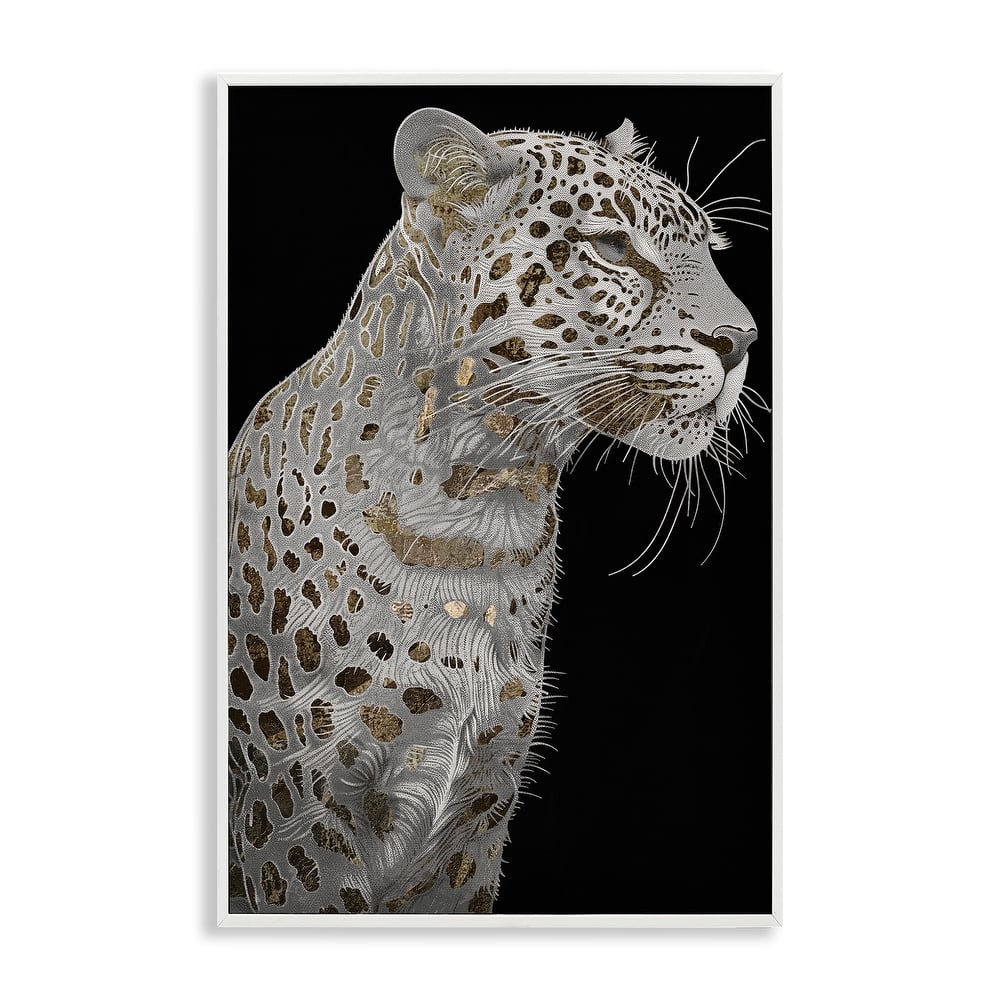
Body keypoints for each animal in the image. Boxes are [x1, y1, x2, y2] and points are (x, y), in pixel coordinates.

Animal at [227, 107, 760, 915]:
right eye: (613, 248)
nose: (743, 342)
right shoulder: (296, 818)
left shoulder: (477, 817)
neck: (483, 517)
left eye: (707, 248)